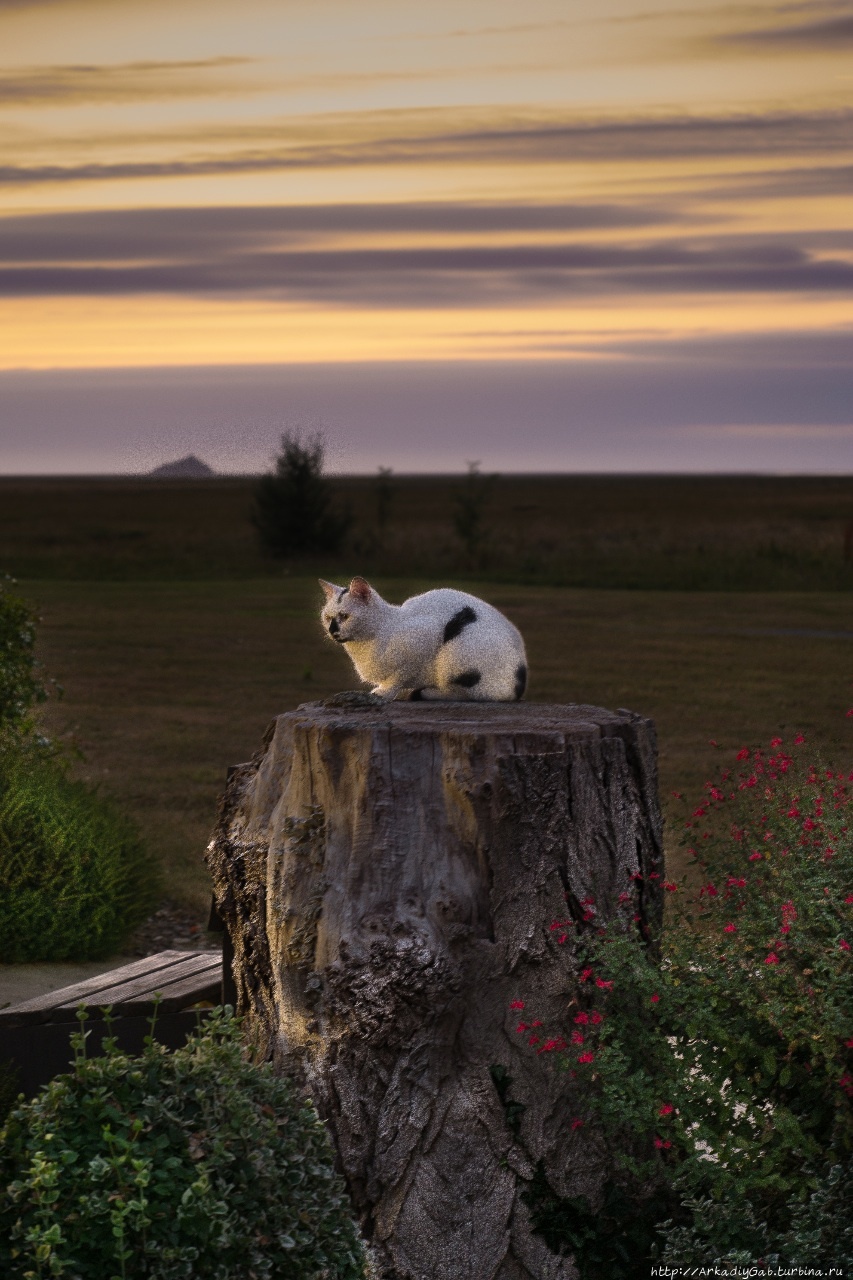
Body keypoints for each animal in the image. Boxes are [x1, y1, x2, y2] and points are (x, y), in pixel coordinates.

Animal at [318, 578, 525, 706]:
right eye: (328, 618)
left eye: (345, 616)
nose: (333, 630)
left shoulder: (423, 640)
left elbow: (399, 677)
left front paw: (385, 692)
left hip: (454, 657)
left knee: (474, 694)